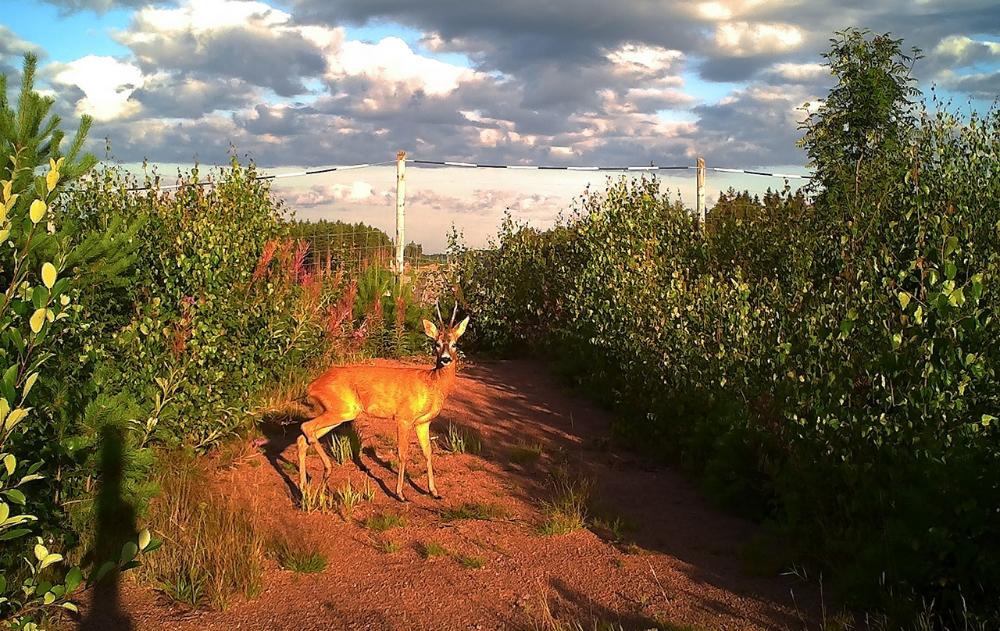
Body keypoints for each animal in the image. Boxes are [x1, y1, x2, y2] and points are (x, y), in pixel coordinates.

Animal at [296, 306, 468, 504]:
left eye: (454, 344)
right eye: (436, 344)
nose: (445, 359)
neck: (432, 383)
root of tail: (312, 385)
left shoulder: (423, 422)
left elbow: (427, 452)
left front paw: (434, 491)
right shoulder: (404, 417)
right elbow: (402, 453)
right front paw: (400, 494)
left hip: (340, 411)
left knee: (303, 437)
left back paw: (304, 488)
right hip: (342, 409)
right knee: (306, 427)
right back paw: (325, 472)